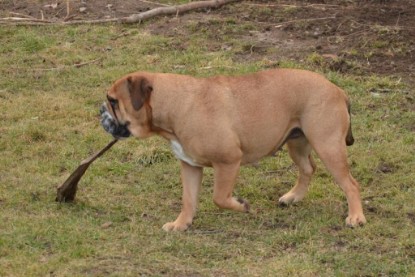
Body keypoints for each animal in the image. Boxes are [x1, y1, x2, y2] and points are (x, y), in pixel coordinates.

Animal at [100, 69, 368, 231]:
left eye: (113, 101)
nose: (100, 110)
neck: (176, 105)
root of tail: (337, 90)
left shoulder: (228, 161)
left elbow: (219, 198)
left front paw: (241, 205)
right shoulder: (190, 166)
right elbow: (188, 199)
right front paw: (181, 224)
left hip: (328, 146)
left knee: (350, 183)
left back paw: (356, 217)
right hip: (297, 143)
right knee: (308, 168)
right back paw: (293, 197)